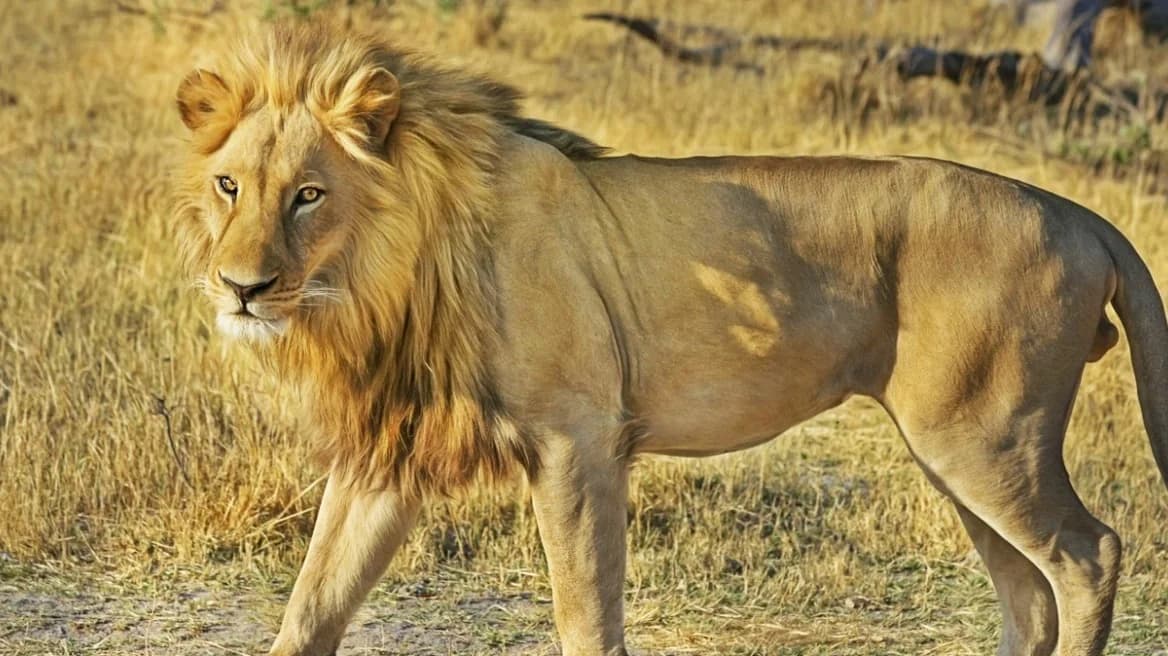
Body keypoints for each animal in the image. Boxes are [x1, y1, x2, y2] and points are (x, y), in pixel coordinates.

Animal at [174, 22, 1167, 656]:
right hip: (958, 453)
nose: (242, 287)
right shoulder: (390, 454)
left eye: (309, 194)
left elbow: (586, 616)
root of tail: (1078, 213)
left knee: (1089, 558)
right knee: (1028, 595)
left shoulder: (577, 440)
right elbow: (311, 607)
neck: (384, 279)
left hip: (985, 438)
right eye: (229, 186)